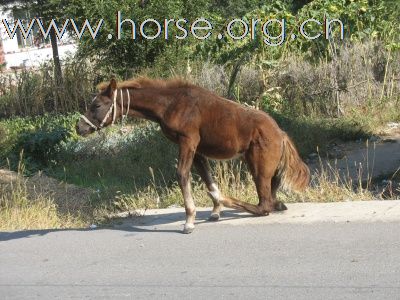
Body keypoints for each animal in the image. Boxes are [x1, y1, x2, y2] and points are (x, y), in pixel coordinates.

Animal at [76, 78, 310, 233]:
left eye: (97, 105)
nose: (79, 127)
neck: (170, 104)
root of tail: (281, 134)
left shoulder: (187, 141)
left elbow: (182, 175)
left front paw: (190, 220)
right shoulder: (197, 149)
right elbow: (207, 178)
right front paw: (214, 211)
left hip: (259, 169)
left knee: (264, 205)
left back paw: (226, 199)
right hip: (264, 169)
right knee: (273, 200)